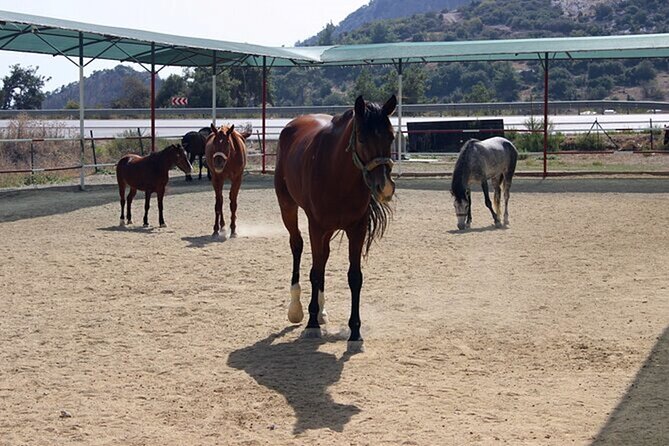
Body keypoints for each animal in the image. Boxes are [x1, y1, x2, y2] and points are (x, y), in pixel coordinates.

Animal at [274, 94, 397, 349]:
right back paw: (296, 308)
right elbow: (315, 272)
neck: (338, 174)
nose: (385, 187)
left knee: (324, 256)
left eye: (391, 136)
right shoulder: (316, 226)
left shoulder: (356, 229)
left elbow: (354, 277)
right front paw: (311, 324)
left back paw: (321, 310)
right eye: (362, 138)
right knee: (297, 246)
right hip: (288, 207)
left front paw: (355, 333)